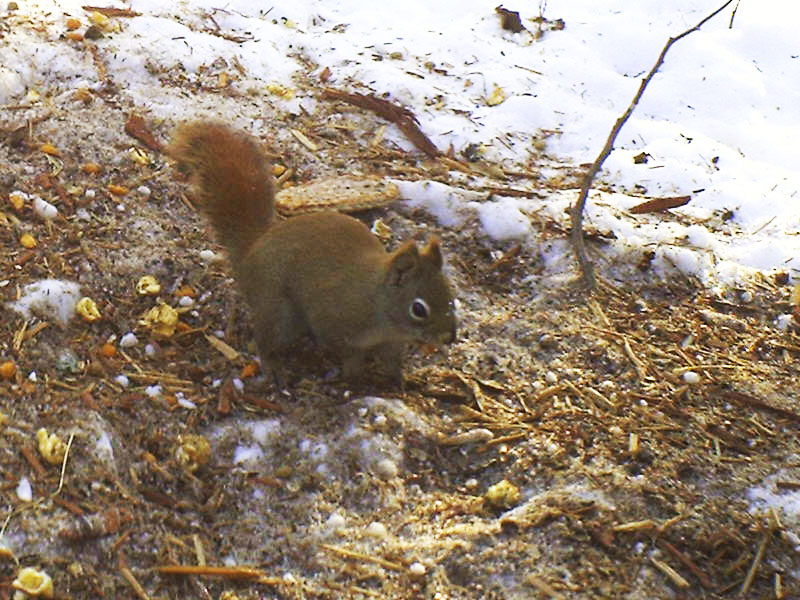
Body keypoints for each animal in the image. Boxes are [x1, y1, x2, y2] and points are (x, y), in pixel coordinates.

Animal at [167, 121, 457, 384]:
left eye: (451, 297)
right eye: (418, 309)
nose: (449, 338)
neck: (379, 307)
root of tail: (252, 250)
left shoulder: (391, 343)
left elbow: (392, 361)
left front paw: (399, 380)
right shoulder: (333, 323)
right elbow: (348, 355)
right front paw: (355, 377)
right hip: (279, 312)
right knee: (265, 339)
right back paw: (274, 368)